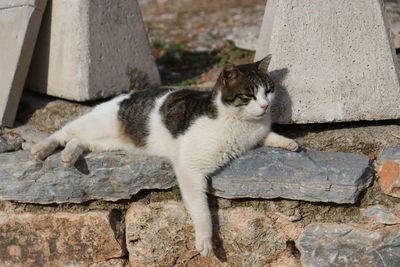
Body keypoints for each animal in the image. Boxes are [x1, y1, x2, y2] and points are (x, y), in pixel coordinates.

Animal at [31, 55, 298, 258]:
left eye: (268, 91)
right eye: (249, 95)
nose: (265, 106)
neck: (241, 126)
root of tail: (125, 96)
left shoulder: (257, 135)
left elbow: (270, 135)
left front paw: (290, 143)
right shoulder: (189, 168)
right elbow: (201, 210)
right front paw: (205, 241)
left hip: (104, 143)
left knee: (78, 141)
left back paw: (68, 157)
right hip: (94, 125)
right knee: (64, 132)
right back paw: (41, 149)